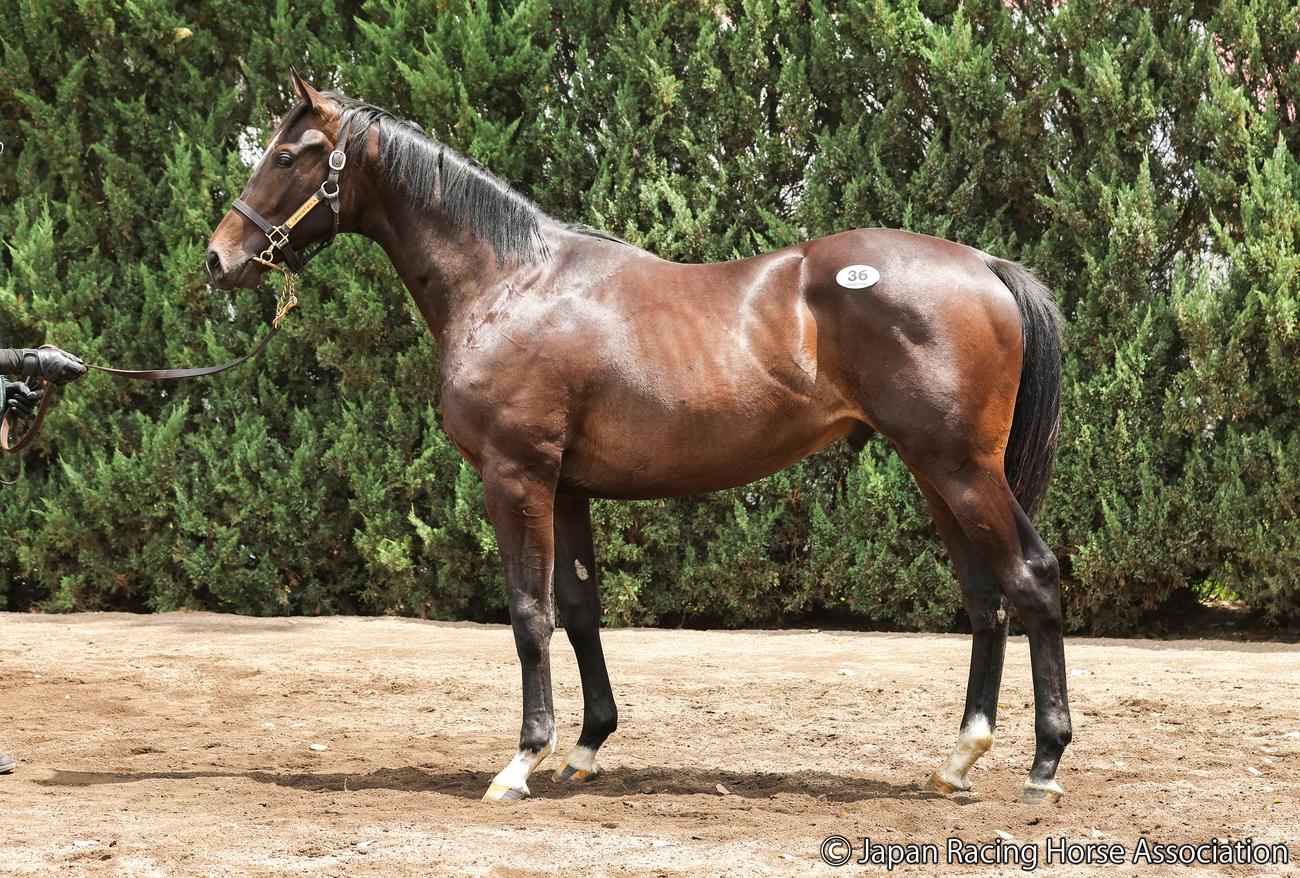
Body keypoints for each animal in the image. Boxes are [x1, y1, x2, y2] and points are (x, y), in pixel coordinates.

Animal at [205, 69, 1072, 806]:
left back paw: (1043, 765)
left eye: (287, 155)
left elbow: (529, 613)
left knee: (1031, 578)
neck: (510, 282)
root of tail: (985, 264)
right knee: (984, 595)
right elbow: (581, 609)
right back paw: (958, 761)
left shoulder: (515, 475)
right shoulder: (569, 488)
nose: (219, 259)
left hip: (962, 470)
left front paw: (523, 760)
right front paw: (586, 749)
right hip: (935, 473)